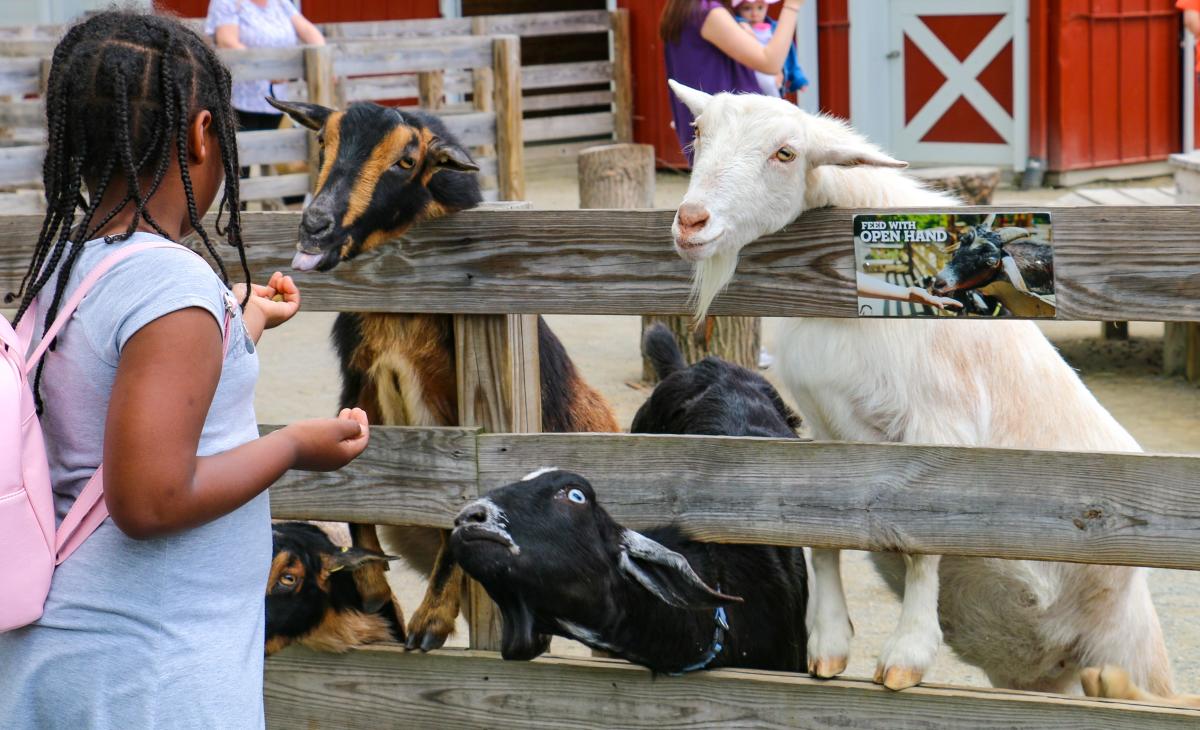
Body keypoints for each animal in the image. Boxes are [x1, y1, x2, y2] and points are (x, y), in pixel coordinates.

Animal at [665, 80, 1172, 695]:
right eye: (698, 132)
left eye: (785, 153)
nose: (692, 221)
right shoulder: (825, 429)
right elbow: (820, 535)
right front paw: (828, 643)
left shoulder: (939, 427)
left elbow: (923, 546)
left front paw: (906, 655)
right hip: (1047, 674)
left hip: (1130, 641)